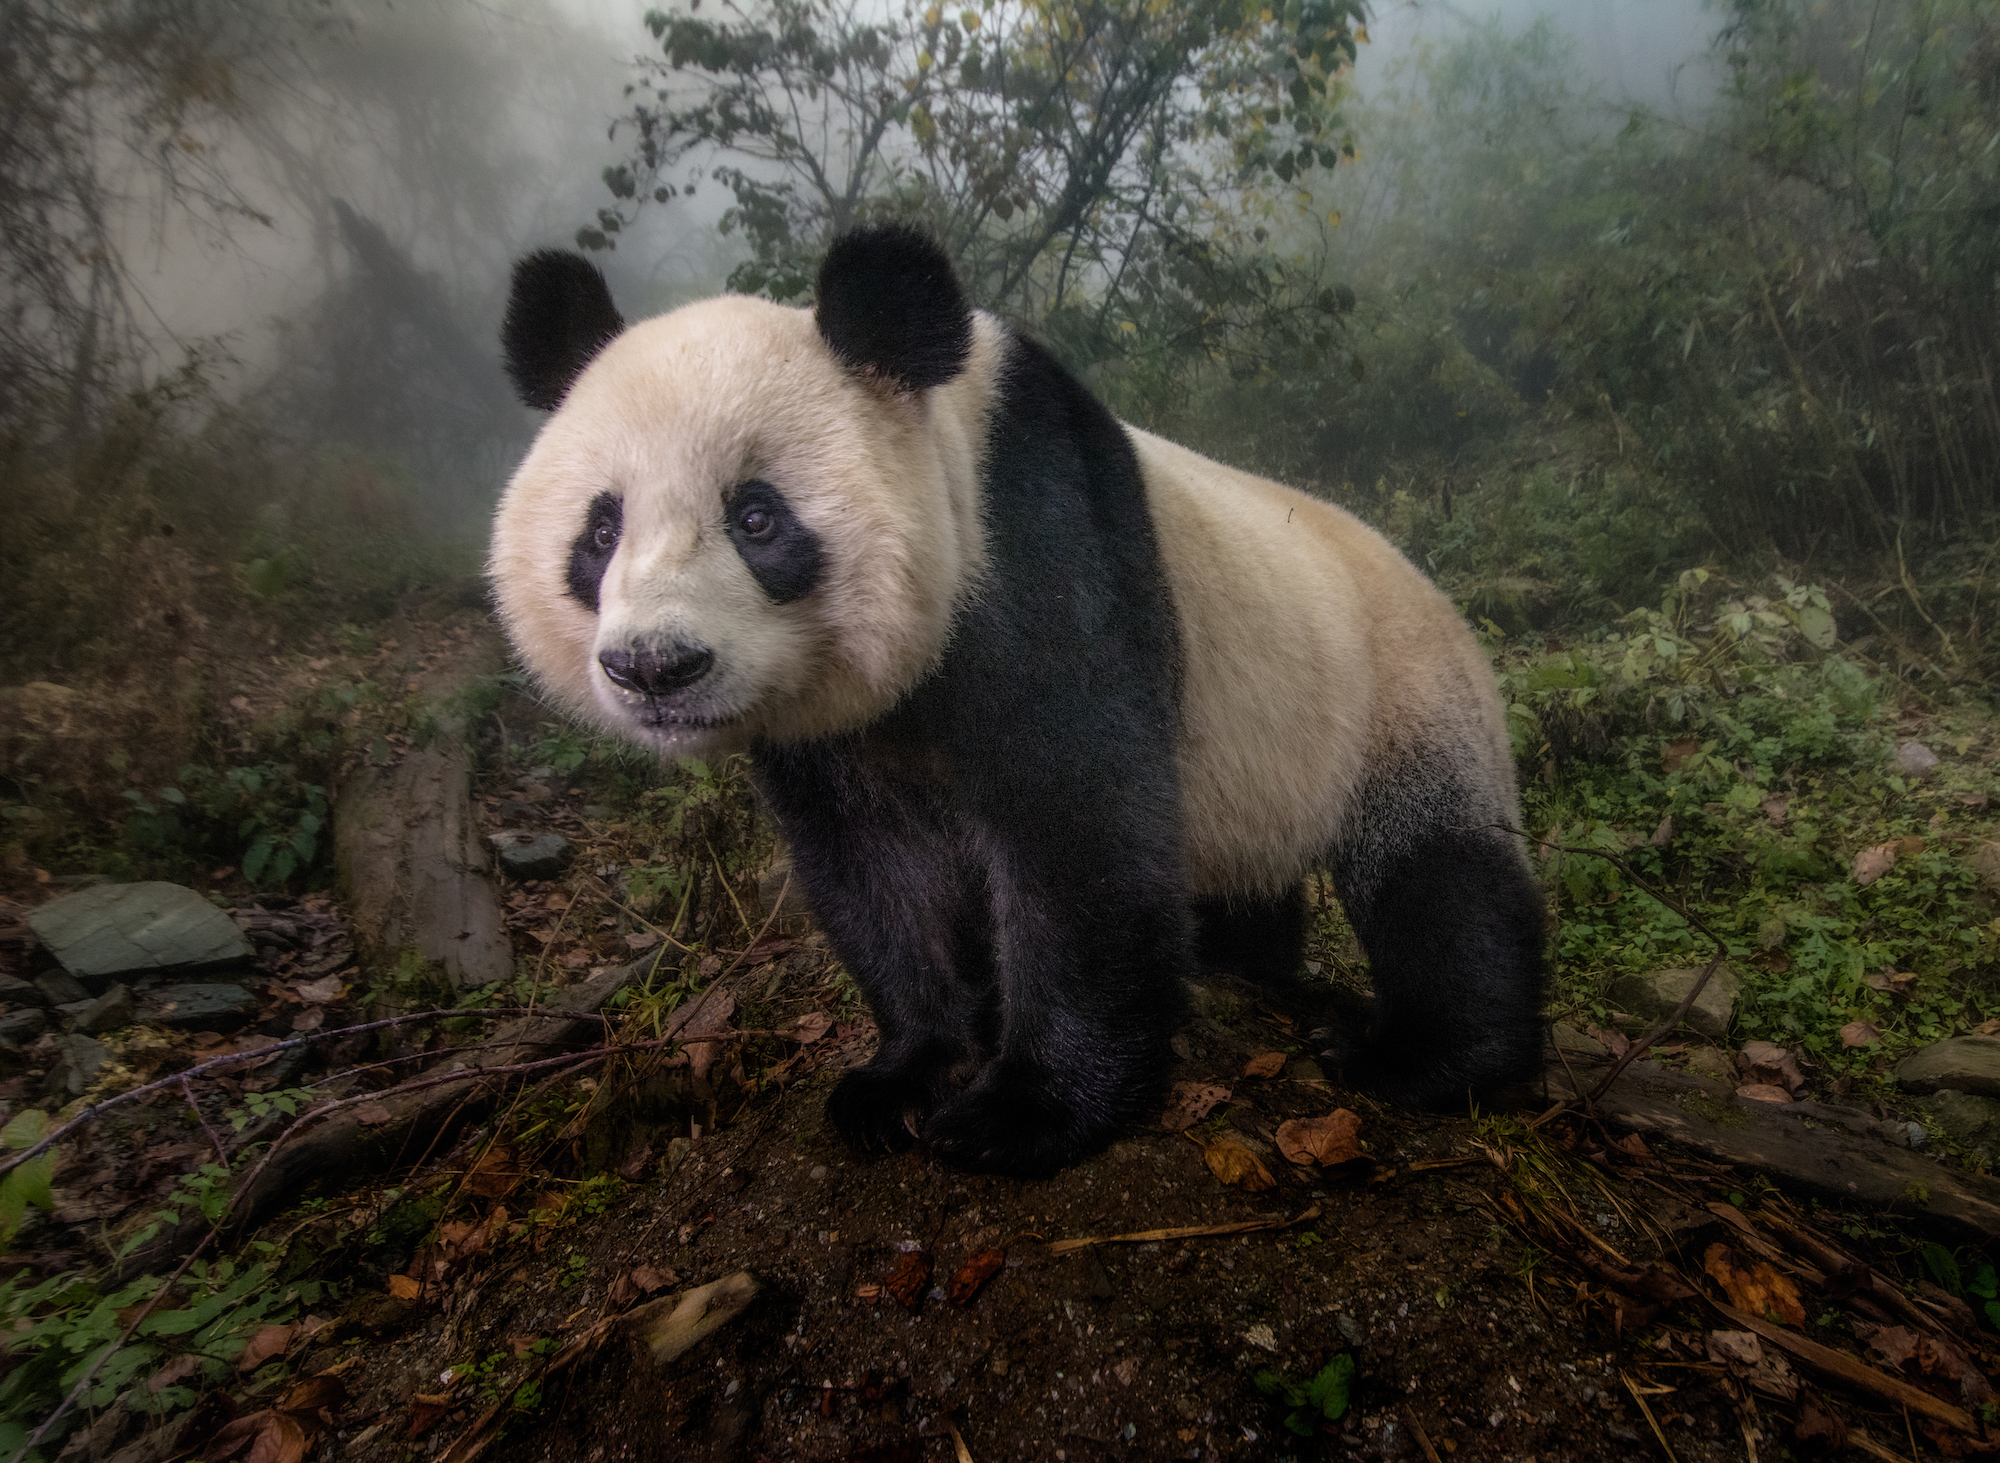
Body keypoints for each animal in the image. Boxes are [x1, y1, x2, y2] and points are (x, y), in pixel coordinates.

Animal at [490, 225, 1546, 1177]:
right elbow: (875, 866)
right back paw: (1243, 961)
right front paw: (904, 1074)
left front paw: (1023, 1112)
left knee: (1440, 875)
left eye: (756, 517)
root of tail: (1427, 579)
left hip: (1400, 695)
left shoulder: (1042, 542)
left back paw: (1415, 1054)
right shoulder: (821, 719)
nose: (654, 667)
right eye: (600, 529)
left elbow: (1078, 824)